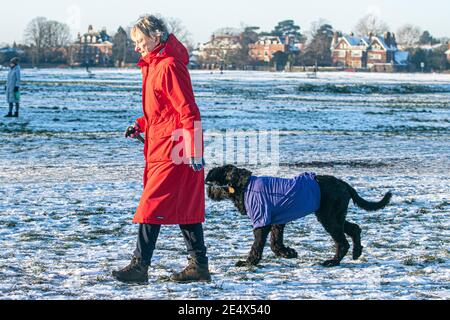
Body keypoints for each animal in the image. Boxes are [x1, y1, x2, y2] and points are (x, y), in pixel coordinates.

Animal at [206, 165, 392, 268]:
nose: (208, 191)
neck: (243, 186)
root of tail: (343, 183)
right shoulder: (277, 222)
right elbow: (275, 242)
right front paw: (289, 253)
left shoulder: (262, 221)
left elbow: (258, 245)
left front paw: (248, 263)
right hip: (336, 216)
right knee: (354, 228)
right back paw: (356, 253)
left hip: (328, 218)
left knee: (342, 241)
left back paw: (332, 262)